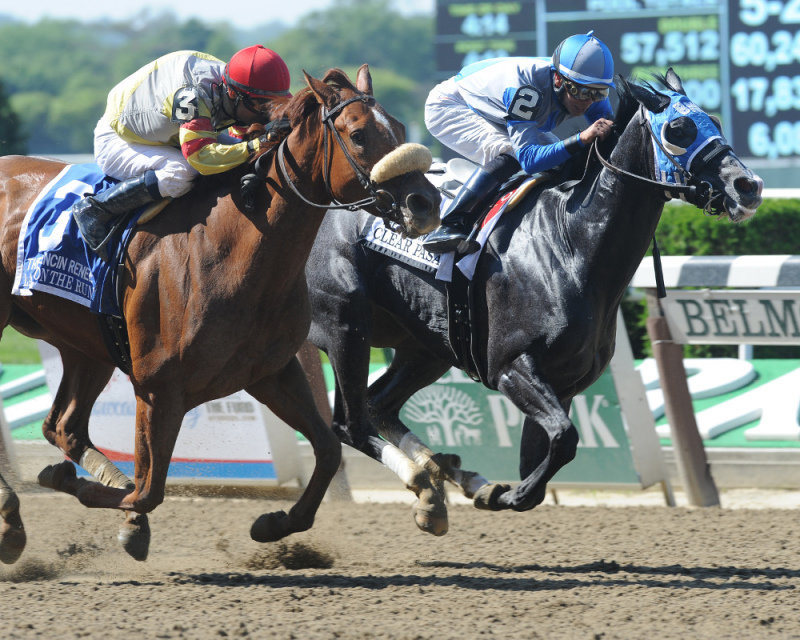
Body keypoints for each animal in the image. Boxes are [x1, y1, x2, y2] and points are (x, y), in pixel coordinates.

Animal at [304, 70, 764, 532]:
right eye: (677, 130)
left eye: (715, 122)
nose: (749, 186)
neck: (570, 243)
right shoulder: (511, 367)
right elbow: (564, 439)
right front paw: (511, 494)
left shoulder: (565, 385)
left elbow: (544, 455)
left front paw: (501, 491)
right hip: (347, 329)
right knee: (349, 422)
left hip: (425, 349)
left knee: (379, 403)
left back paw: (450, 482)